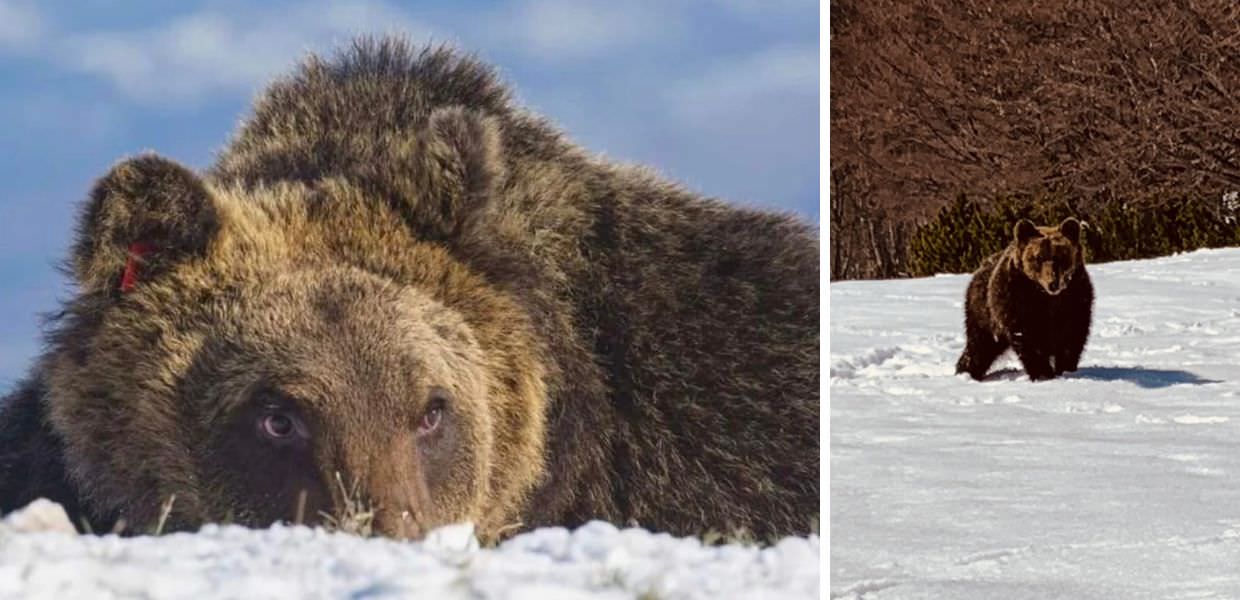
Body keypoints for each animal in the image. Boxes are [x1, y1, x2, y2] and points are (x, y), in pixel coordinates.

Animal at [955, 217, 1093, 382]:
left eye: (1061, 257)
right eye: (1038, 258)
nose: (1053, 283)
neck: (1046, 297)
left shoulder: (1075, 300)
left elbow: (1072, 338)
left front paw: (1066, 370)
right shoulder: (1018, 302)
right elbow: (1029, 340)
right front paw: (1043, 373)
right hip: (984, 314)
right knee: (979, 346)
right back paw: (966, 372)